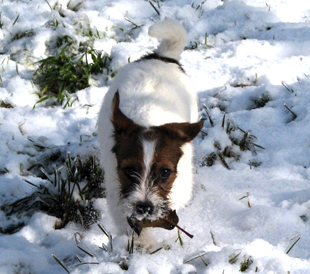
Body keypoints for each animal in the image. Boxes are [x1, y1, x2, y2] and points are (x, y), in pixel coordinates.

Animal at [97, 18, 203, 247]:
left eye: (165, 172)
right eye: (129, 170)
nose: (144, 207)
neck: (149, 119)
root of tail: (162, 57)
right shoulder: (116, 186)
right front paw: (142, 243)